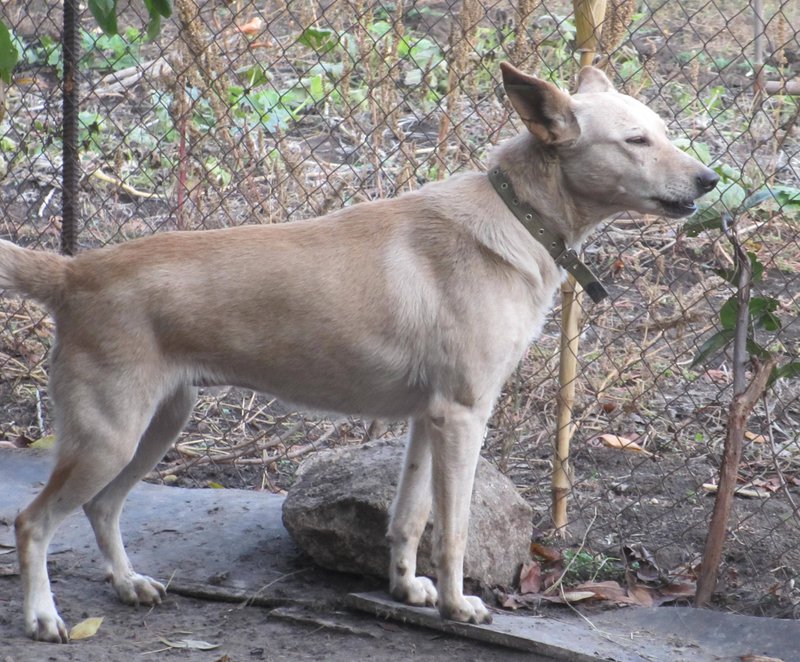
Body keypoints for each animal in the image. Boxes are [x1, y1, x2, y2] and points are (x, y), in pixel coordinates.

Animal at [0, 63, 720, 644]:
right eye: (636, 141)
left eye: (662, 131)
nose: (711, 180)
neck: (518, 219)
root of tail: (73, 271)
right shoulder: (463, 416)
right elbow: (454, 530)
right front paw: (458, 608)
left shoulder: (428, 420)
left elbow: (410, 519)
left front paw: (406, 590)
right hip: (110, 437)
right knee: (33, 522)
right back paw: (42, 617)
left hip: (157, 428)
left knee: (102, 507)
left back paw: (127, 585)